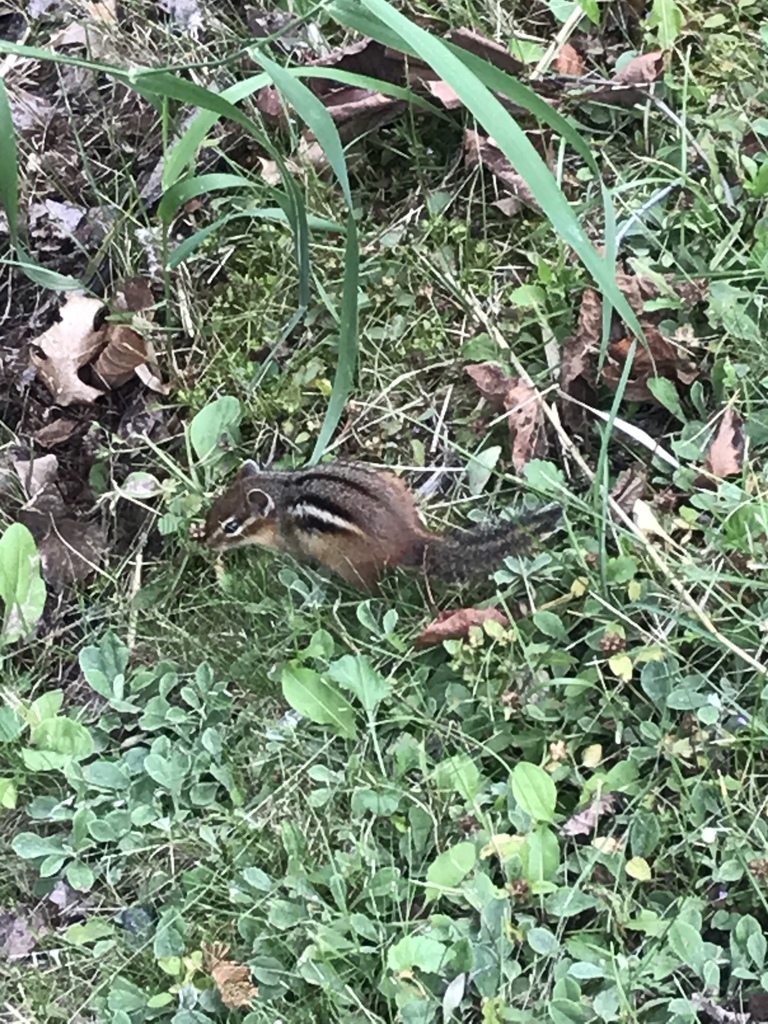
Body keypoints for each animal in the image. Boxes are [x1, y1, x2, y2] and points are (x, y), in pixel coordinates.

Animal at [201, 459, 561, 591]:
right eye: (212, 509)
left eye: (231, 527)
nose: (205, 543)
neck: (281, 493)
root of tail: (412, 539)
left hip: (348, 561)